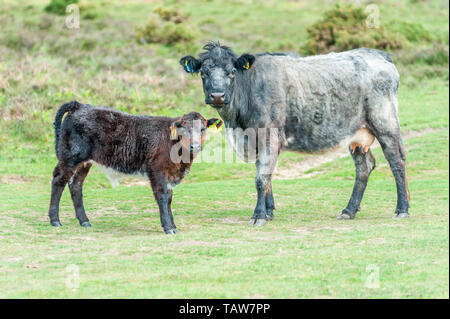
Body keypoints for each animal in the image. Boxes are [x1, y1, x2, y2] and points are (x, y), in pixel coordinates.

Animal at [48, 101, 222, 234]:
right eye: (184, 129)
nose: (195, 146)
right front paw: (168, 227)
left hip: (85, 162)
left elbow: (169, 199)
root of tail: (80, 105)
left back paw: (84, 221)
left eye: (203, 128)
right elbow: (163, 196)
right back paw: (55, 220)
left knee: (76, 185)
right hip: (70, 157)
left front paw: (172, 225)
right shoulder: (157, 170)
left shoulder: (170, 174)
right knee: (59, 180)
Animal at [178, 42, 408, 226]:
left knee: (397, 161)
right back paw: (349, 210)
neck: (238, 124)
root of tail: (376, 54)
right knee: (364, 167)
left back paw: (402, 209)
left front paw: (259, 215)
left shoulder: (269, 135)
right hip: (357, 136)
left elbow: (261, 177)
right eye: (203, 73)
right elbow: (267, 176)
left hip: (386, 124)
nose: (217, 95)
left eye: (231, 71)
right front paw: (269, 211)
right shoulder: (257, 140)